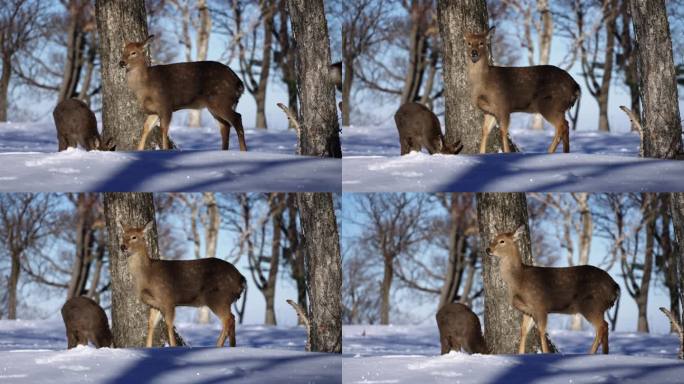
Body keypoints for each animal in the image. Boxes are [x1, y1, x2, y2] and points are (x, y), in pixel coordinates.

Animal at [117, 219, 246, 348]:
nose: (123, 247)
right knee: (232, 318)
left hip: (218, 297)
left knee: (228, 319)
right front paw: (148, 347)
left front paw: (173, 347)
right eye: (123, 236)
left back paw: (218, 346)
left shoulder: (168, 298)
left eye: (134, 237)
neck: (147, 274)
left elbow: (169, 324)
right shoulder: (155, 304)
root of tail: (241, 278)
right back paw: (232, 345)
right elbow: (150, 325)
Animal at [486, 225, 620, 354]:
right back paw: (605, 353)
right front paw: (520, 354)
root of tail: (615, 286)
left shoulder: (540, 305)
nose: (488, 249)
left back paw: (591, 353)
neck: (519, 280)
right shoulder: (528, 310)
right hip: (597, 306)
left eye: (502, 241)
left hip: (591, 303)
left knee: (602, 326)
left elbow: (541, 331)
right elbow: (523, 331)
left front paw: (546, 354)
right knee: (605, 326)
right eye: (493, 239)